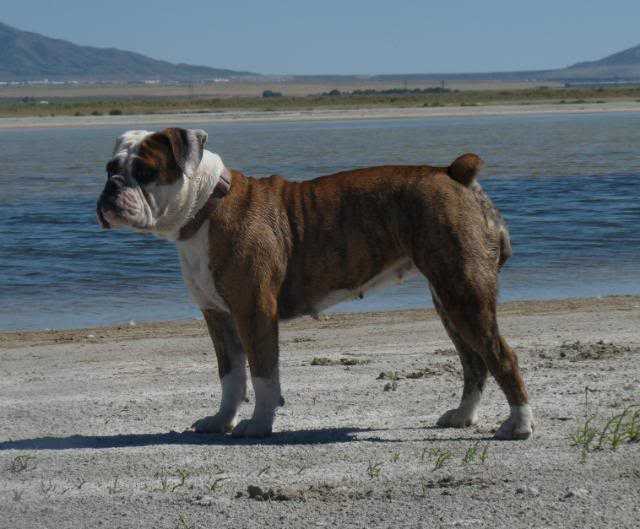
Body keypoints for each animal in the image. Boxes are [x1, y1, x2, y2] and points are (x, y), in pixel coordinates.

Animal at [97, 127, 532, 438]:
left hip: (465, 295)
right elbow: (231, 376)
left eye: (145, 171)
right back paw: (462, 416)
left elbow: (263, 374)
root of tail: (454, 173)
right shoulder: (218, 317)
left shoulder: (254, 312)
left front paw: (259, 425)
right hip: (449, 300)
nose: (112, 188)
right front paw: (221, 421)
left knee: (501, 356)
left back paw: (519, 425)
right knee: (474, 361)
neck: (206, 206)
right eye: (110, 168)